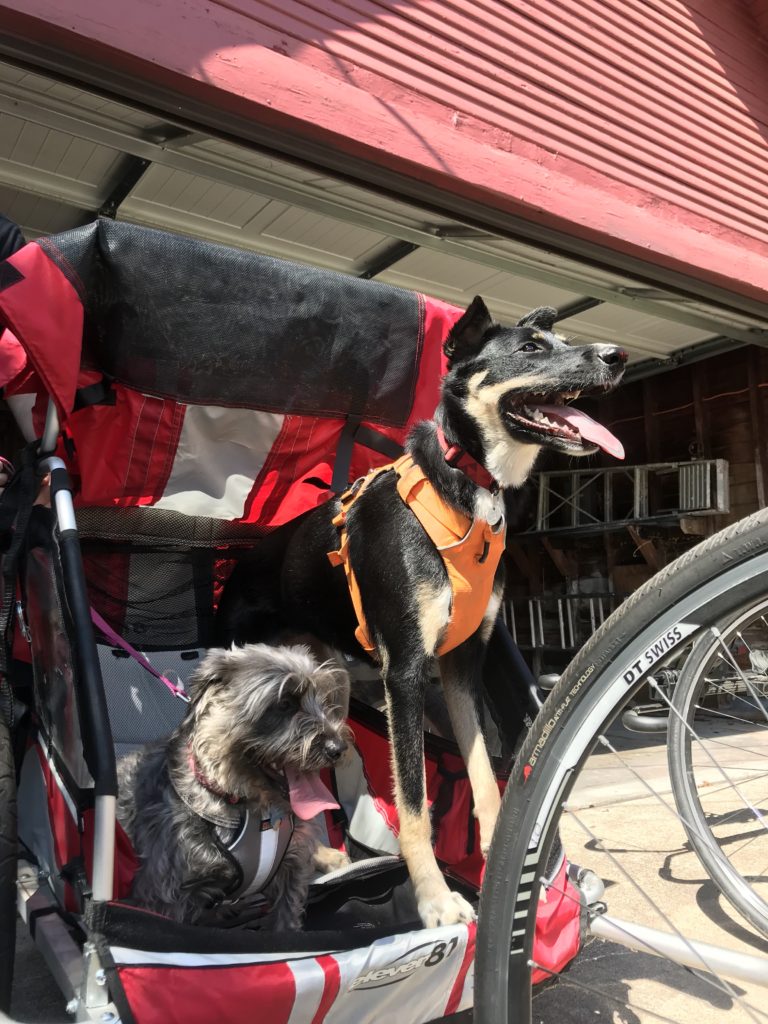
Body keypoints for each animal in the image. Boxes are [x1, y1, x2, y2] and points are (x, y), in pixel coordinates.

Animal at [117, 647, 352, 929]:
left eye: (325, 701)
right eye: (285, 703)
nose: (338, 748)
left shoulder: (290, 871)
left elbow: (286, 918)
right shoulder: (165, 894)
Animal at [219, 296, 626, 929]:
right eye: (531, 348)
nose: (617, 356)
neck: (465, 485)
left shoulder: (462, 664)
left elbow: (483, 771)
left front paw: (497, 857)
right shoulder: (406, 673)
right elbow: (413, 803)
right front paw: (434, 898)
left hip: (326, 687)